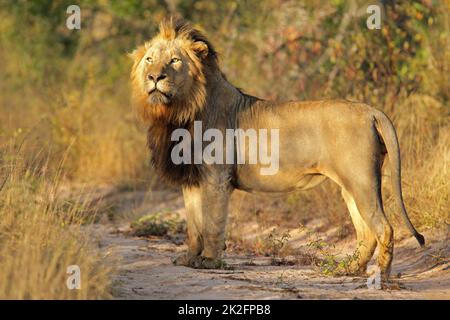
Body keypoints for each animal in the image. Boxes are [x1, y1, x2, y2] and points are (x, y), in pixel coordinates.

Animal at [128, 16, 424, 280]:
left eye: (175, 60)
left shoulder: (216, 177)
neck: (178, 112)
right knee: (366, 232)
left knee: (383, 228)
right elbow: (193, 225)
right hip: (350, 186)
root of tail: (371, 110)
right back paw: (349, 269)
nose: (155, 77)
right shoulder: (192, 180)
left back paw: (380, 277)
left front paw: (209, 261)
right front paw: (190, 258)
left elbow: (212, 223)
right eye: (149, 60)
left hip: (361, 180)